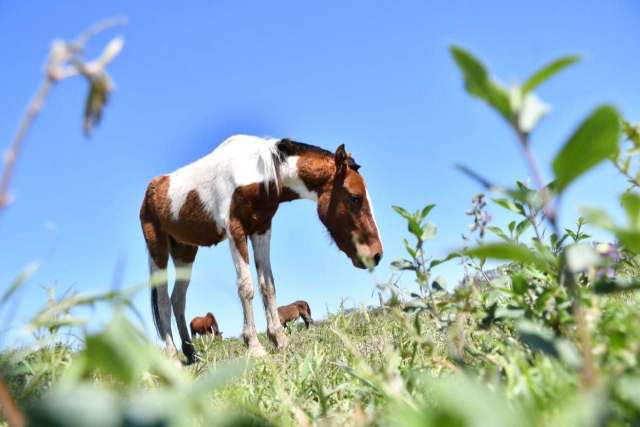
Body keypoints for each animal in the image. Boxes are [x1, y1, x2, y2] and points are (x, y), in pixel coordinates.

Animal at [140, 135, 383, 363]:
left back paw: (192, 353)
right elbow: (246, 287)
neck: (256, 171)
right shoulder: (236, 230)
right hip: (157, 249)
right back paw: (172, 357)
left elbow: (268, 285)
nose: (376, 254)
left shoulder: (262, 229)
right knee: (163, 302)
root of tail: (151, 190)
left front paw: (278, 339)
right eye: (355, 197)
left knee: (178, 300)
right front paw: (255, 346)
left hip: (186, 252)